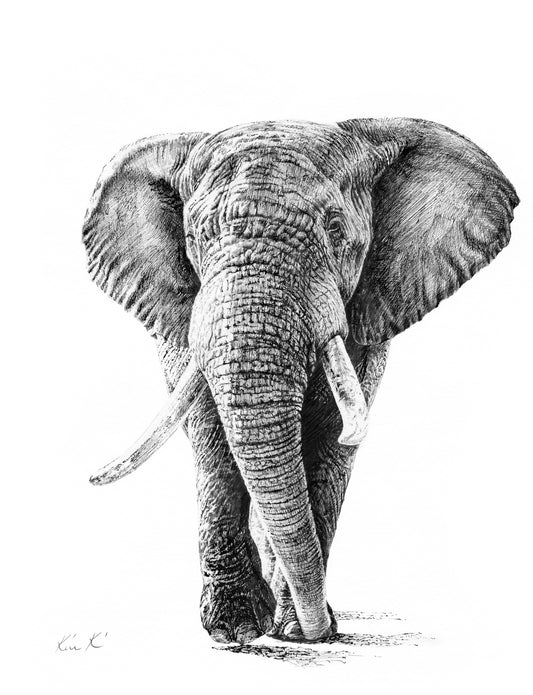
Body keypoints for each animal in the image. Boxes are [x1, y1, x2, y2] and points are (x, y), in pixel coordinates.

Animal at [82, 118, 518, 644]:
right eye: (196, 236)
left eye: (335, 231)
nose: (319, 631)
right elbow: (210, 437)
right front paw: (236, 631)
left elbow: (331, 441)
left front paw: (295, 629)